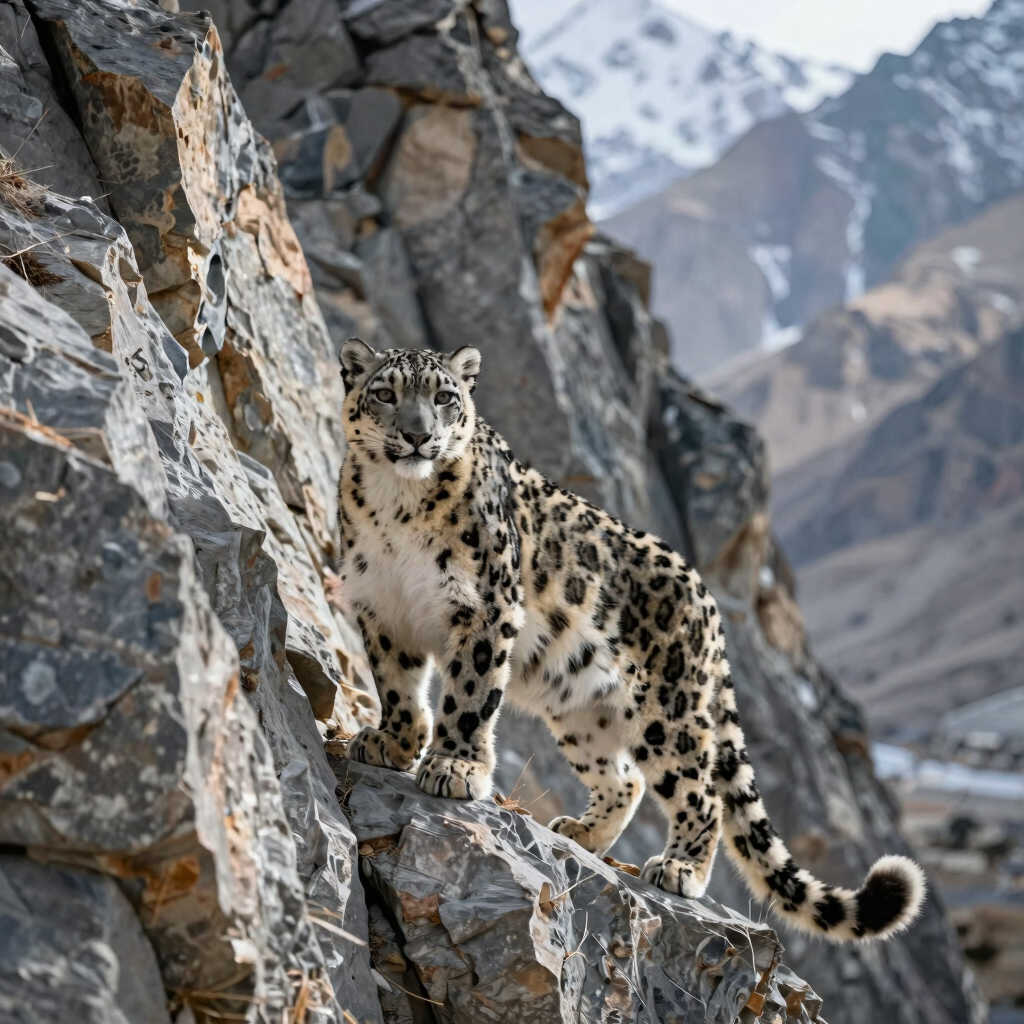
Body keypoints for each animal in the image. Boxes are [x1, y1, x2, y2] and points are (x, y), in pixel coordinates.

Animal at [335, 338, 925, 942]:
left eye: (444, 398)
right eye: (386, 394)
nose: (416, 434)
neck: (399, 504)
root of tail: (708, 602)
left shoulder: (486, 607)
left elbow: (470, 694)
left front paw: (454, 767)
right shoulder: (381, 605)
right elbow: (397, 686)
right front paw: (392, 742)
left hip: (669, 713)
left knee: (702, 794)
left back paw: (680, 868)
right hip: (579, 706)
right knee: (625, 780)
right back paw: (581, 831)